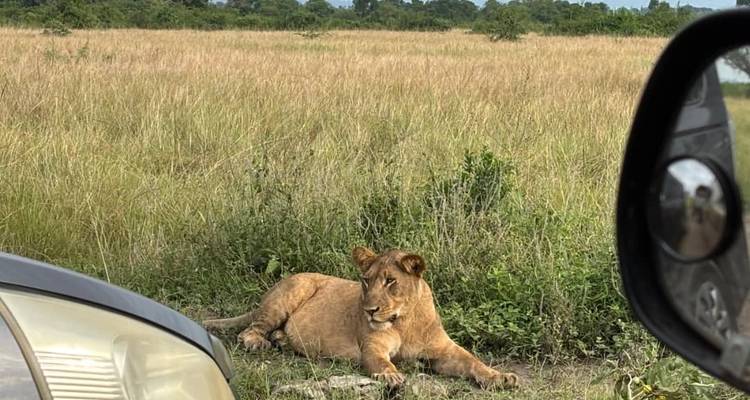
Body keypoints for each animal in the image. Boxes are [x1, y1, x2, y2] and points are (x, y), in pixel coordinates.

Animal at [203, 246, 519, 390]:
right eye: (366, 281)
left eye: (390, 281)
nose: (369, 310)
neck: (404, 320)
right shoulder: (372, 347)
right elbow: (380, 361)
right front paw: (391, 374)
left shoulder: (445, 351)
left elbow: (474, 362)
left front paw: (501, 376)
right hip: (292, 292)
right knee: (249, 330)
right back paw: (259, 342)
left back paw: (283, 341)